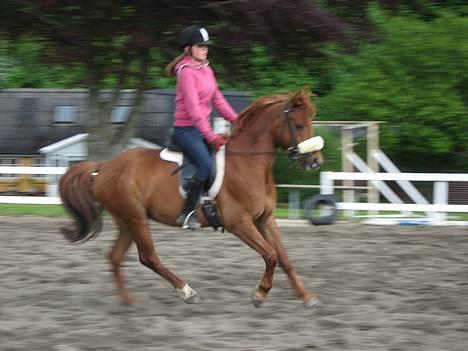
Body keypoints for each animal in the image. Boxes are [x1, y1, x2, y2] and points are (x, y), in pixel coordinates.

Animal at [58, 88, 324, 308]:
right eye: (298, 125)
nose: (315, 162)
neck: (249, 164)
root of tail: (104, 167)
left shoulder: (265, 219)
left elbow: (284, 257)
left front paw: (305, 296)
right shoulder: (239, 223)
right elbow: (270, 255)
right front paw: (259, 294)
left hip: (127, 221)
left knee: (115, 257)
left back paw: (128, 301)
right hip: (136, 219)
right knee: (149, 257)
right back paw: (187, 292)